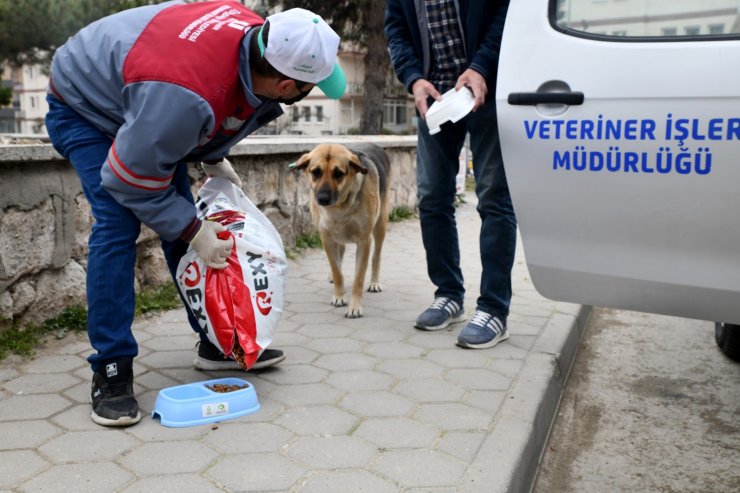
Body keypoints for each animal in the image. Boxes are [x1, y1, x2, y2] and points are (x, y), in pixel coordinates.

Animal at [294, 142, 394, 320]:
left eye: (339, 173)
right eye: (316, 172)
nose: (323, 199)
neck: (339, 207)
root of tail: (375, 144)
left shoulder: (364, 241)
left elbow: (358, 279)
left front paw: (354, 307)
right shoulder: (327, 239)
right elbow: (336, 270)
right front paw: (339, 295)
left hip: (380, 225)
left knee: (376, 256)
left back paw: (374, 282)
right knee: (339, 257)